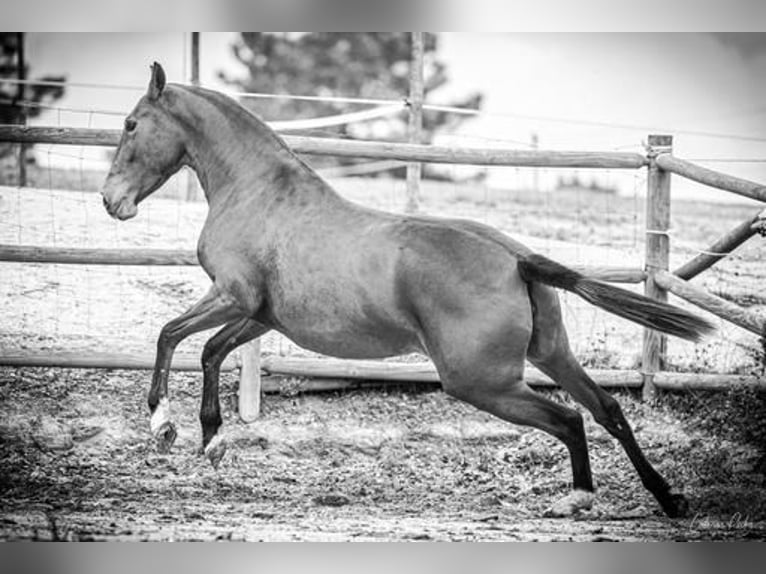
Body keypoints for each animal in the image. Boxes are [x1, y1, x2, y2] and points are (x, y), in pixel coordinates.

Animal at [100, 62, 712, 516]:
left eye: (130, 124)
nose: (111, 201)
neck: (257, 193)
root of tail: (516, 259)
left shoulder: (233, 297)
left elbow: (173, 336)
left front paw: (166, 426)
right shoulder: (261, 314)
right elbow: (206, 351)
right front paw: (211, 439)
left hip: (480, 381)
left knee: (569, 418)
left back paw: (578, 498)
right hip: (550, 353)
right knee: (607, 407)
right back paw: (666, 499)